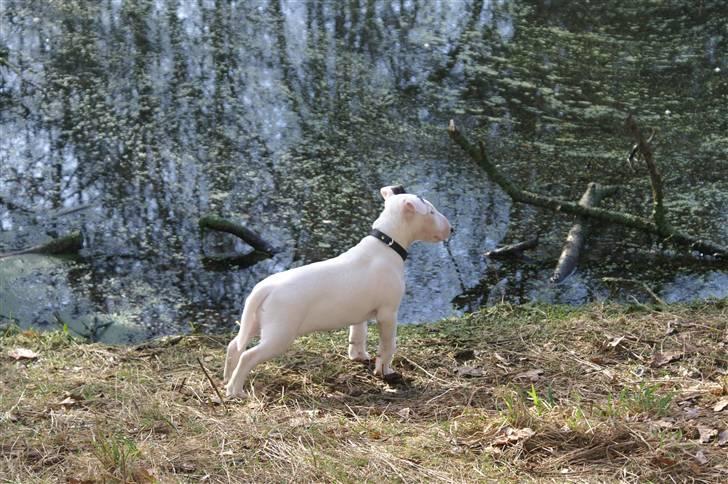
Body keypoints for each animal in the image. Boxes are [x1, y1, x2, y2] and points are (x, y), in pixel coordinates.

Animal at [223, 185, 450, 398]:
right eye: (431, 211)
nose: (452, 229)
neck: (386, 245)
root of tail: (266, 287)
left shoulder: (360, 314)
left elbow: (358, 335)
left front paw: (359, 356)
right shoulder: (388, 314)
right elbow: (387, 347)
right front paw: (385, 371)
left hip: (256, 323)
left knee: (234, 345)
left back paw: (226, 380)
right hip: (279, 335)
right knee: (247, 356)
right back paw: (236, 391)